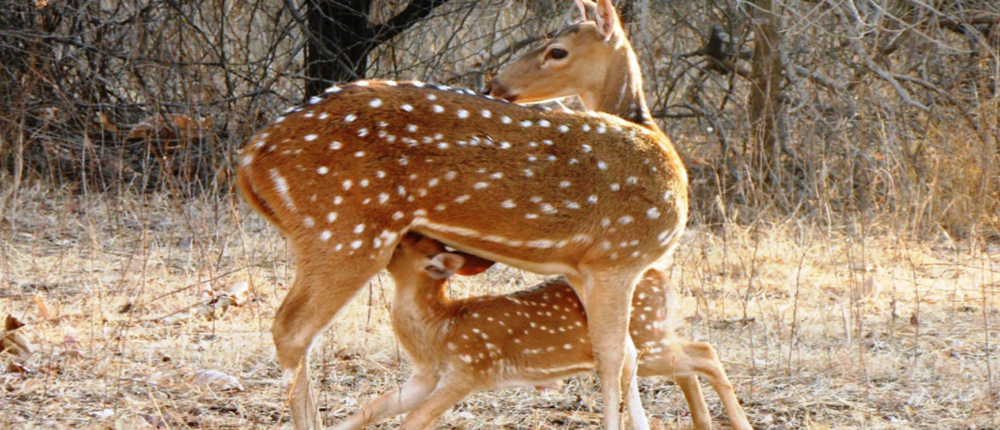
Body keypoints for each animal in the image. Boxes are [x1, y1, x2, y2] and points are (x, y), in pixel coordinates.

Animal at [237, 0, 684, 424]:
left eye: (557, 50)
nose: (496, 83)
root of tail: (250, 157)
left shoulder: (583, 267)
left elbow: (625, 355)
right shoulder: (617, 257)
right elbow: (611, 356)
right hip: (344, 231)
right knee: (292, 329)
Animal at [336, 235, 752, 430]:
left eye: (405, 243)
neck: (438, 329)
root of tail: (659, 273)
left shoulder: (470, 368)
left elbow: (415, 418)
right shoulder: (425, 375)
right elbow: (374, 406)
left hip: (648, 338)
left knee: (706, 352)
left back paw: (739, 422)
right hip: (654, 340)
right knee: (691, 361)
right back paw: (703, 422)